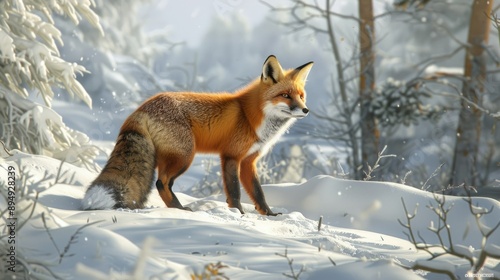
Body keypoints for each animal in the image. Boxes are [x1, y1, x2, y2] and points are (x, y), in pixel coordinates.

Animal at [82, 55, 312, 217]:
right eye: (285, 96)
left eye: (301, 96)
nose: (305, 110)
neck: (250, 116)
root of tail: (140, 108)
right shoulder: (231, 156)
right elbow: (234, 191)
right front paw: (238, 213)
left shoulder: (249, 161)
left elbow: (258, 193)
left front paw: (269, 214)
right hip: (185, 156)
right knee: (161, 183)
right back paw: (180, 210)